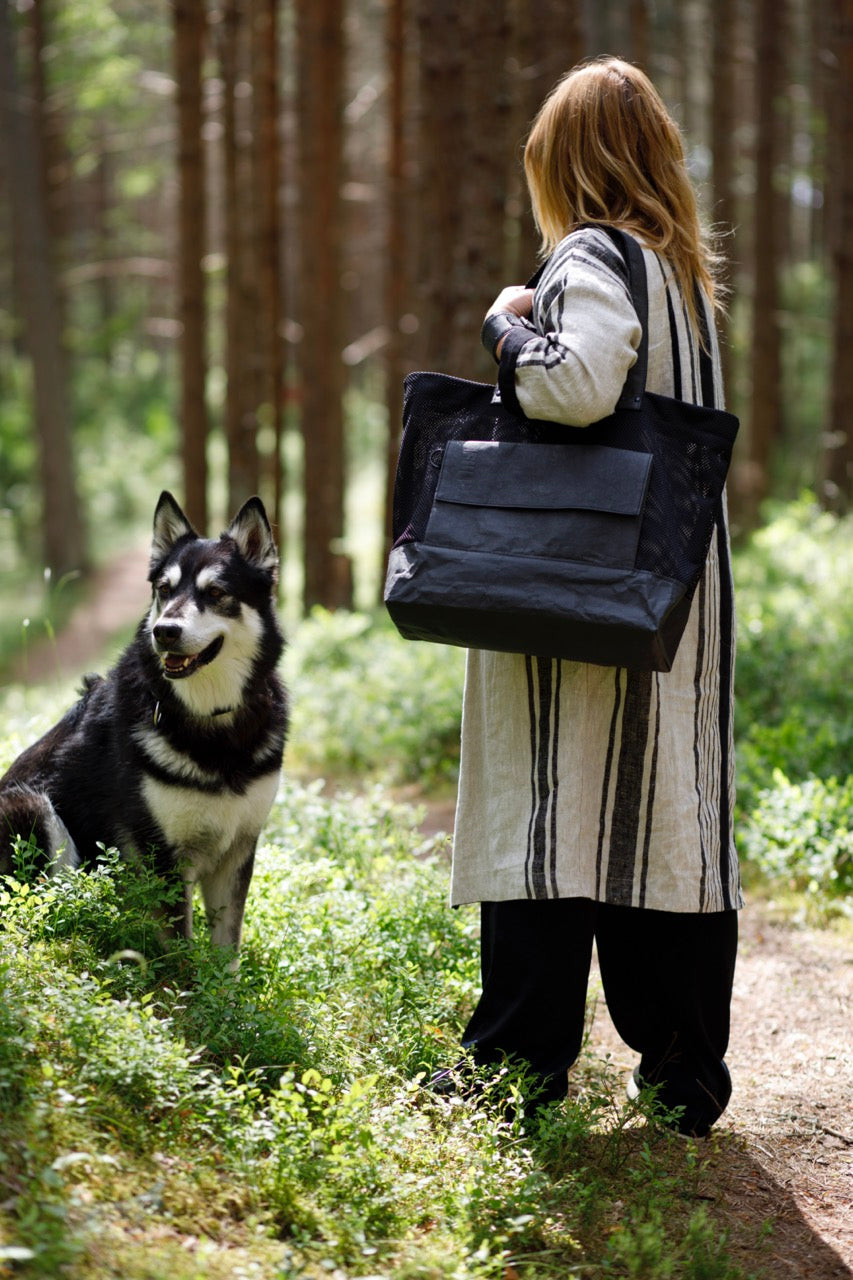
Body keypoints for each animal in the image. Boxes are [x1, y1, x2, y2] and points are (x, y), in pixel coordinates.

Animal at [0, 488, 285, 962]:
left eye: (216, 592)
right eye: (164, 590)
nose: (164, 631)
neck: (211, 720)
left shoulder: (238, 849)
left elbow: (225, 950)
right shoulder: (161, 855)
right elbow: (182, 948)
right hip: (32, 808)